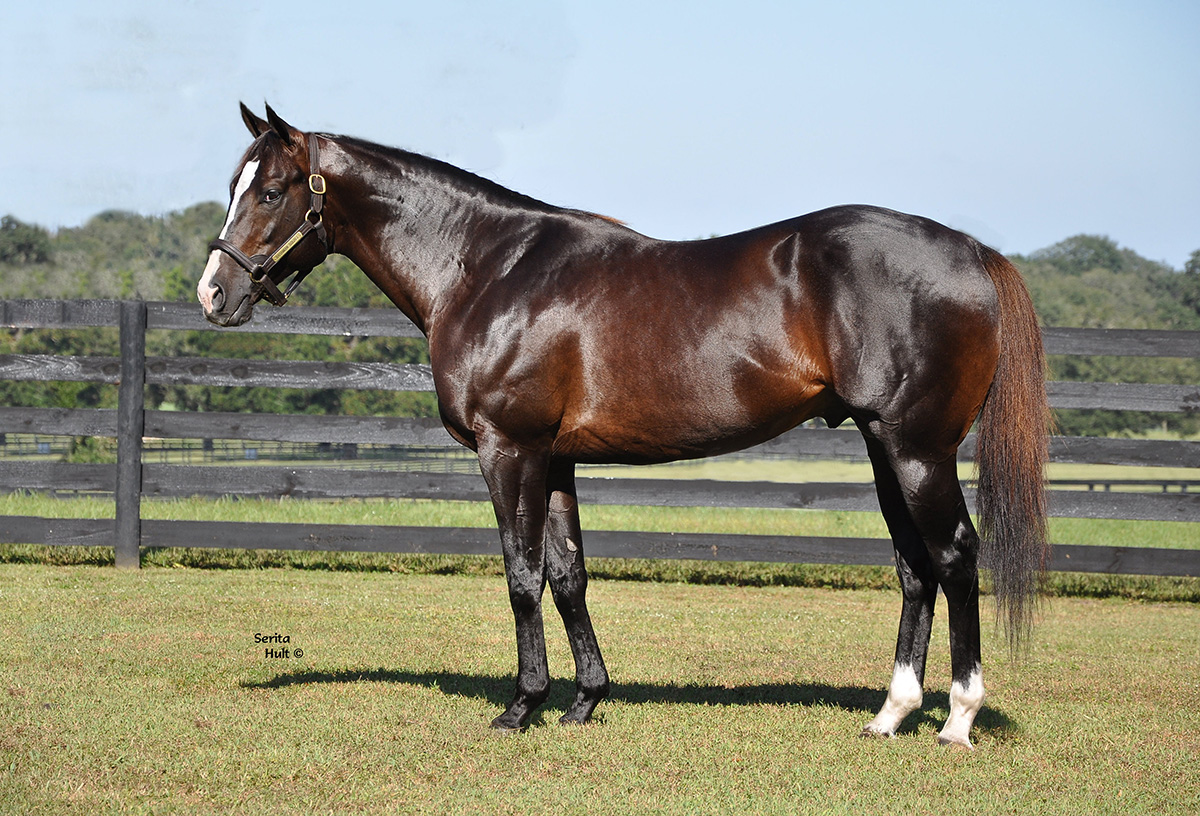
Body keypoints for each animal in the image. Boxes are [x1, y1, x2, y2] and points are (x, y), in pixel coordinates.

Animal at [199, 104, 1049, 748]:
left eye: (270, 189)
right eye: (234, 183)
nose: (213, 293)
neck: (490, 268)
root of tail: (971, 251)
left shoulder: (509, 450)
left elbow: (521, 574)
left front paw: (521, 705)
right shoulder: (556, 458)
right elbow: (569, 575)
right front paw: (584, 700)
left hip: (918, 450)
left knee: (954, 556)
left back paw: (957, 721)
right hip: (883, 447)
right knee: (914, 566)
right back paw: (891, 715)